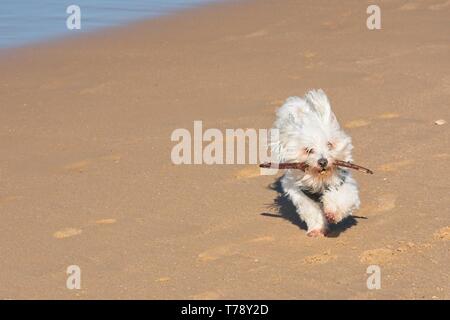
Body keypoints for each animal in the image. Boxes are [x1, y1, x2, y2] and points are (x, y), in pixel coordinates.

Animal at [268, 89, 360, 236]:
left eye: (329, 144)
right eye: (308, 150)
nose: (323, 161)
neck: (319, 179)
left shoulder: (344, 182)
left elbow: (341, 197)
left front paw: (333, 212)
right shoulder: (299, 192)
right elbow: (311, 210)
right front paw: (317, 229)